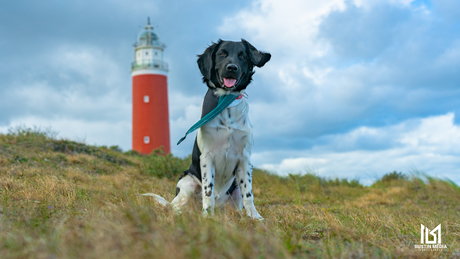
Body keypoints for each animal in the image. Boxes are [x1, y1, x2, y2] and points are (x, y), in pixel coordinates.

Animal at [146, 39, 272, 220]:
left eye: (242, 56)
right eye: (222, 54)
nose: (232, 67)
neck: (225, 103)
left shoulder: (245, 159)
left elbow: (248, 193)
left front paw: (256, 218)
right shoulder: (207, 156)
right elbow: (208, 191)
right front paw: (207, 216)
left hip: (234, 191)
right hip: (187, 181)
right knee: (175, 206)